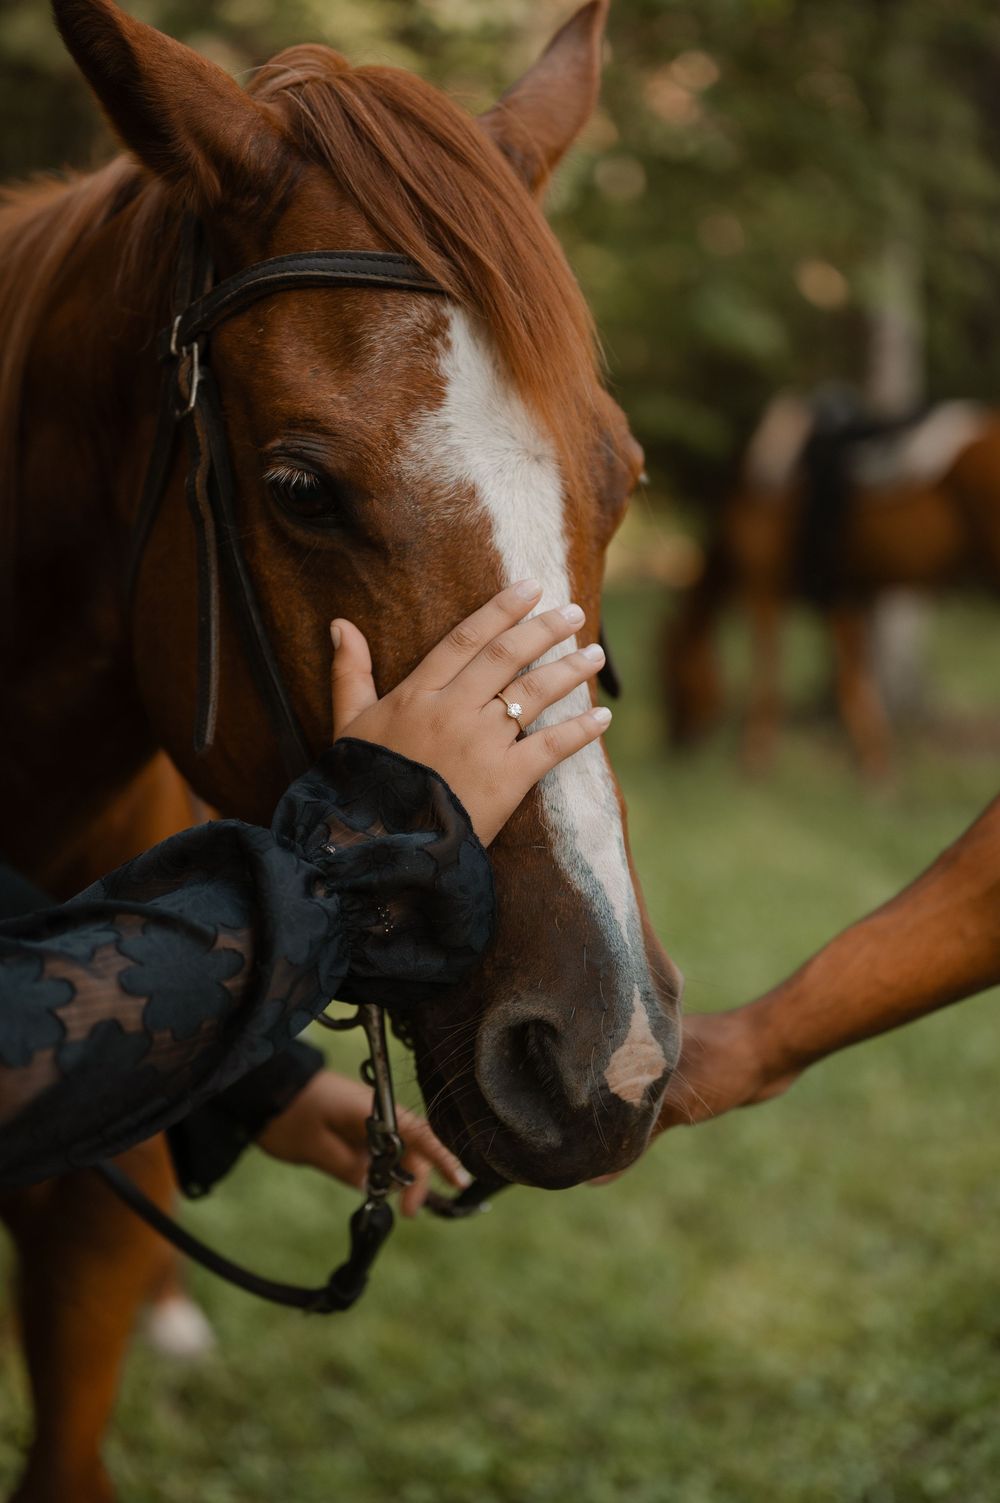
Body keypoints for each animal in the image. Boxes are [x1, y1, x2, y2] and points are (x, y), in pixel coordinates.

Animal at [662, 391, 1000, 777]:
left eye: (669, 669)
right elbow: (853, 673)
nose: (674, 743)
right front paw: (875, 763)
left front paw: (755, 756)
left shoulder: (764, 579)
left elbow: (769, 662)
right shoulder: (845, 589)